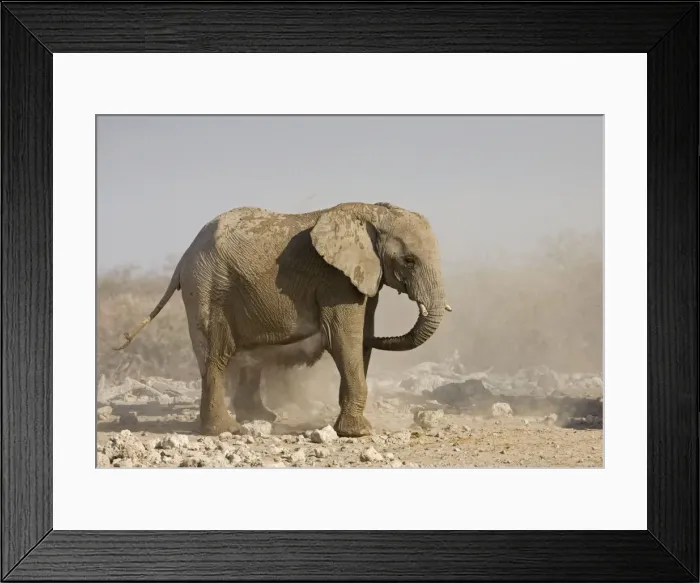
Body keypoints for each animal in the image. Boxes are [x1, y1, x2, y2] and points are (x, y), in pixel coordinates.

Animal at [114, 201, 452, 437]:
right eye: (409, 260)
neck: (372, 212)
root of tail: (184, 257)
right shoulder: (334, 279)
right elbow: (344, 339)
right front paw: (358, 433)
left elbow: (360, 340)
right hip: (207, 285)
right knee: (215, 355)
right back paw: (227, 430)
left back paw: (260, 419)